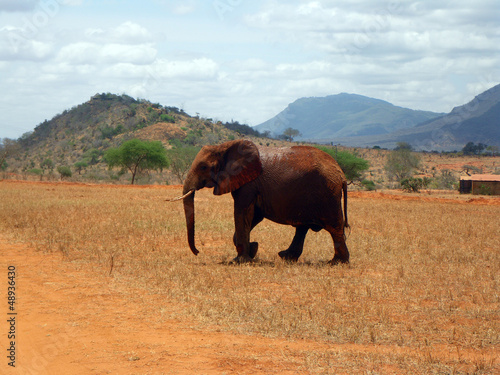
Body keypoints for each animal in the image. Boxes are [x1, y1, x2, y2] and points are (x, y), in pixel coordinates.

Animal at [179, 140, 348, 266]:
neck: (224, 146)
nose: (198, 252)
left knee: (335, 227)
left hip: (328, 193)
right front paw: (253, 249)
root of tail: (341, 175)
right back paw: (286, 257)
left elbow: (242, 212)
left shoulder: (249, 184)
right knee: (303, 227)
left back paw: (336, 262)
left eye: (203, 167)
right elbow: (254, 215)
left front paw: (240, 260)